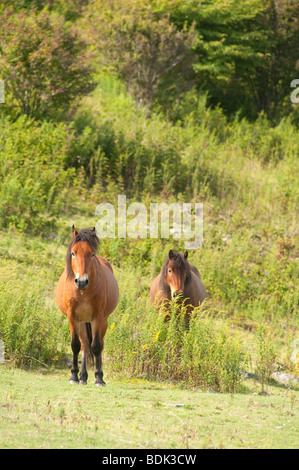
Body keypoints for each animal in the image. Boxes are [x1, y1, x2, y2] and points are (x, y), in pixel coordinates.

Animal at [55, 227, 119, 386]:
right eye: (73, 253)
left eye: (92, 254)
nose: (82, 281)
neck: (83, 291)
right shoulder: (72, 317)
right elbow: (75, 345)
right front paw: (73, 376)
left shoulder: (97, 317)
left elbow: (96, 346)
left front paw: (99, 378)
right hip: (82, 321)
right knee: (84, 345)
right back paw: (83, 376)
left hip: (102, 321)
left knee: (99, 344)